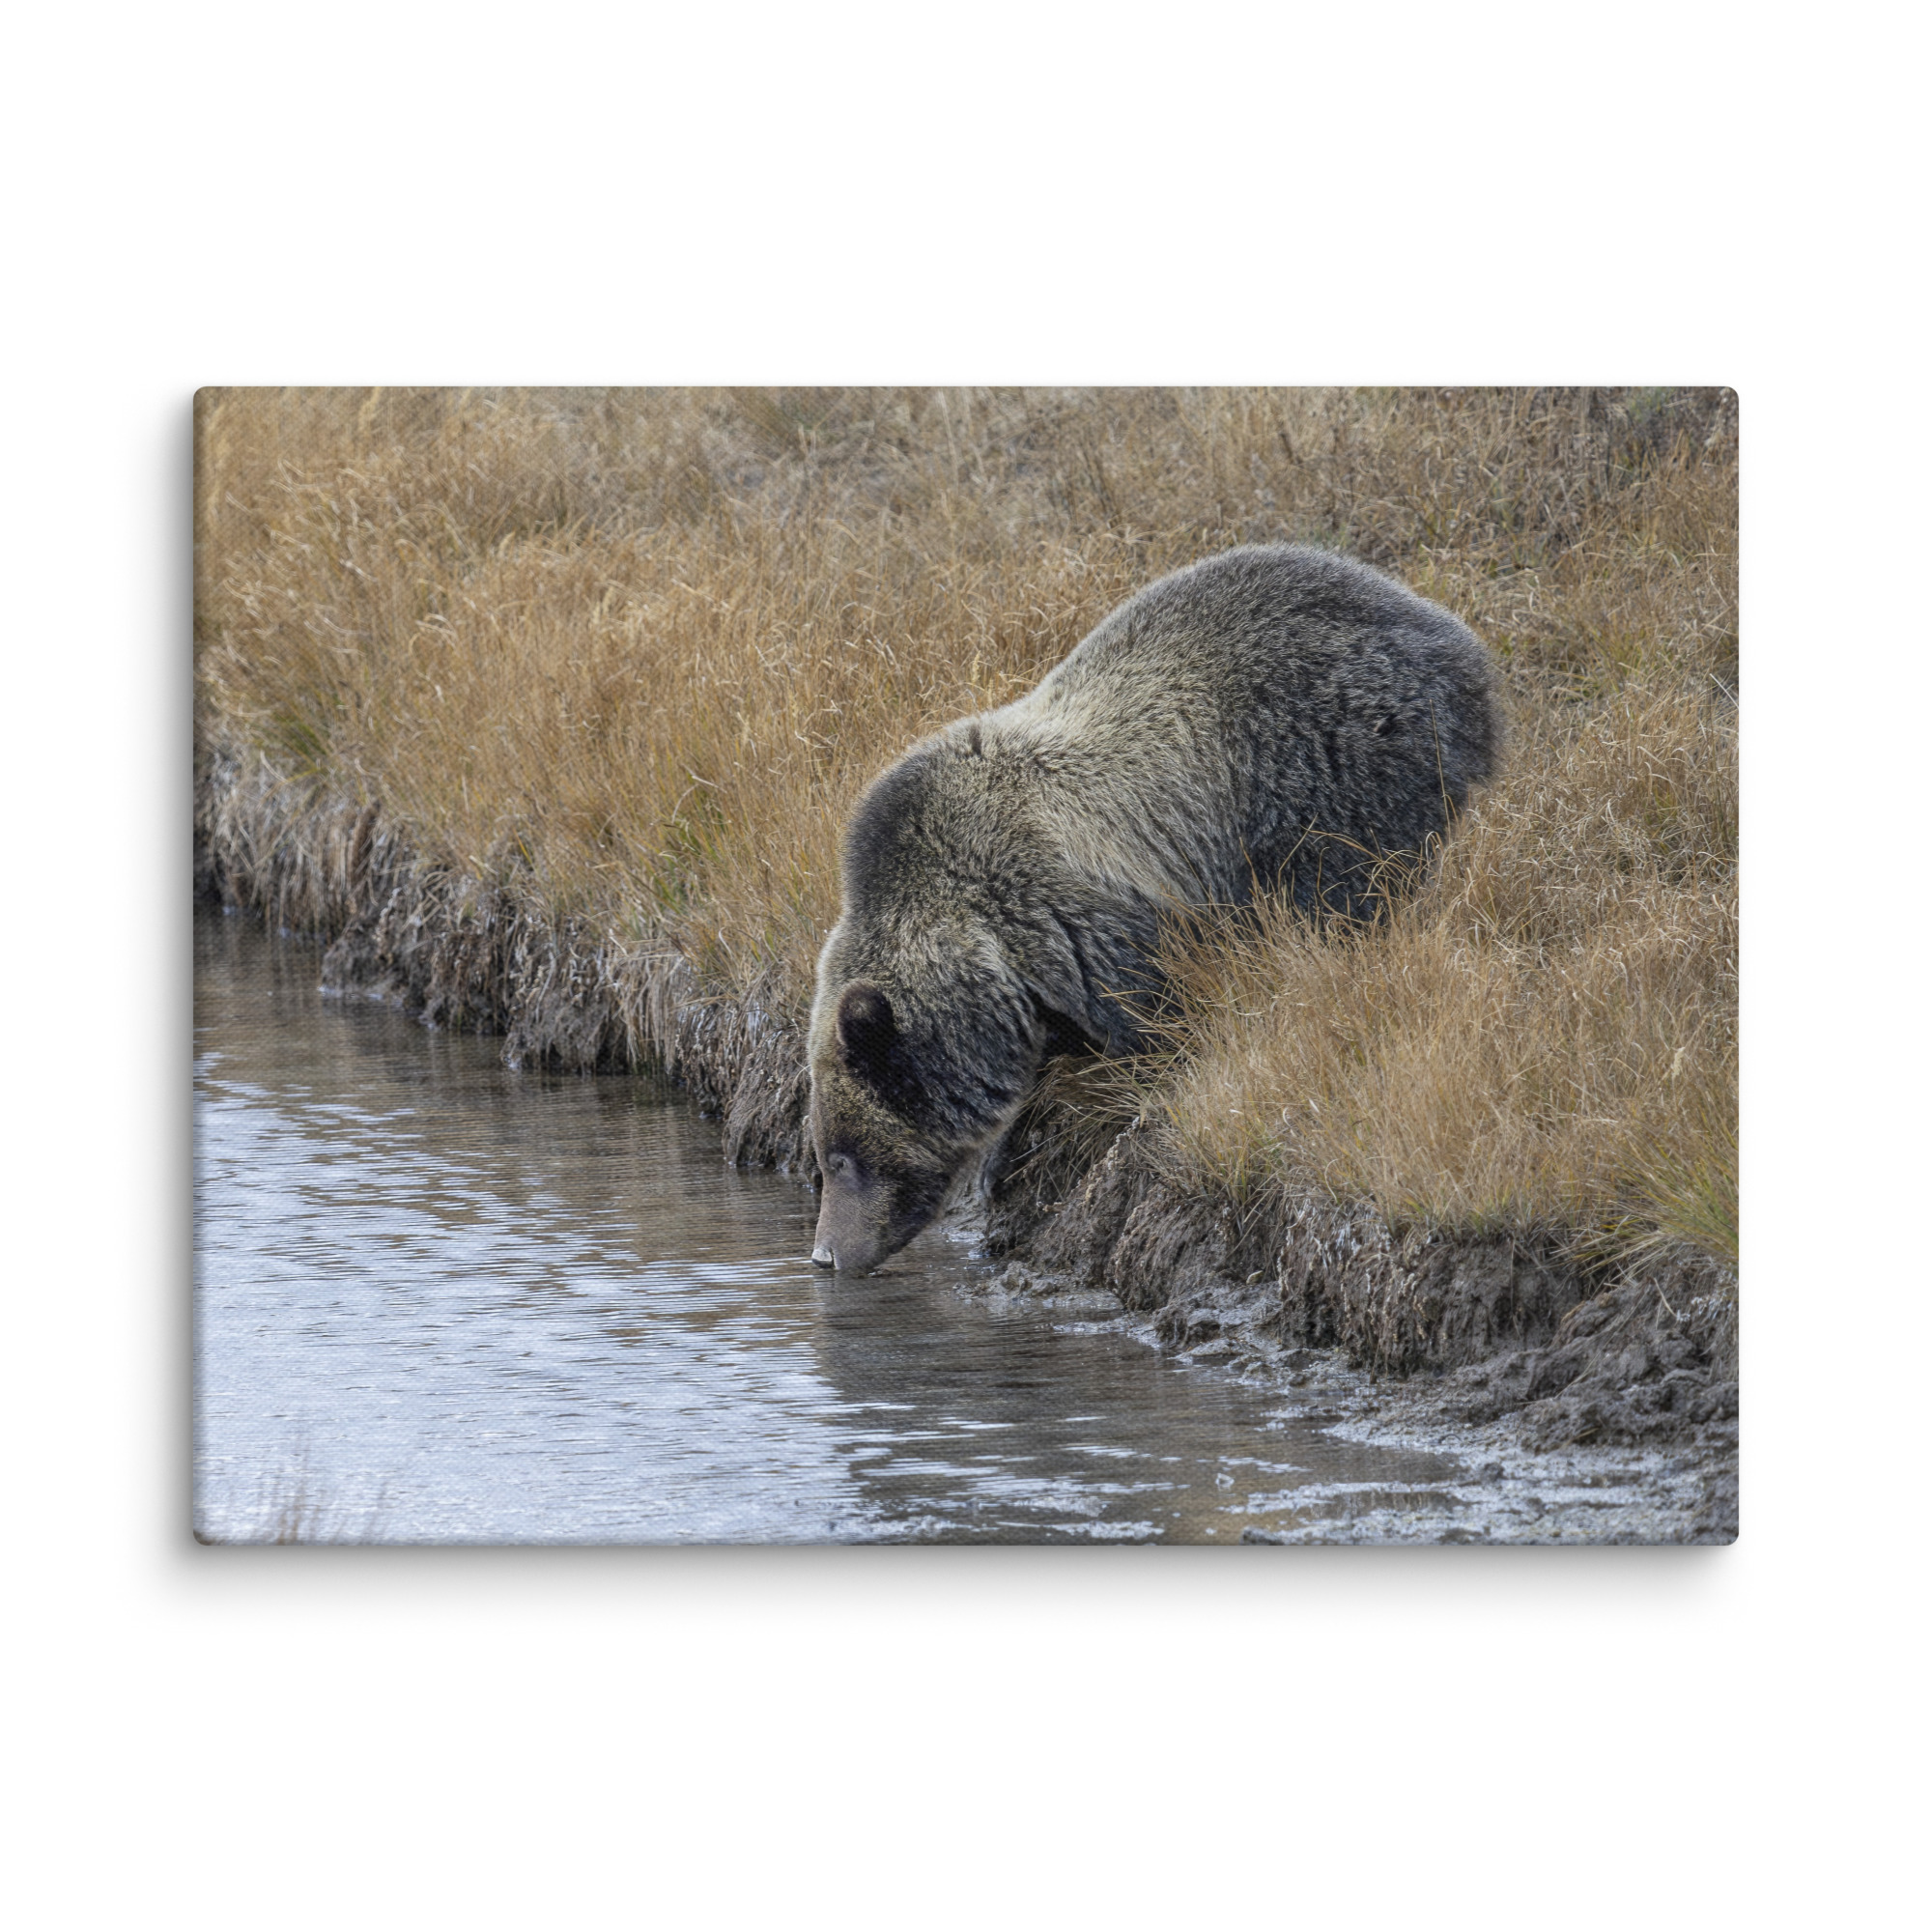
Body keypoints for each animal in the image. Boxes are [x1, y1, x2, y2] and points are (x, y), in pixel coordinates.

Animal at [806, 542, 1499, 1274]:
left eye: (843, 1157)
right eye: (824, 1154)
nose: (824, 1254)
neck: (990, 953)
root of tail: (1452, 635)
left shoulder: (1079, 920)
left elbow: (1152, 1019)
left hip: (1332, 762)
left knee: (1345, 890)